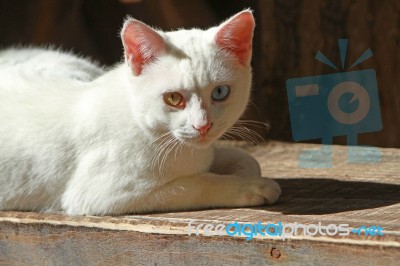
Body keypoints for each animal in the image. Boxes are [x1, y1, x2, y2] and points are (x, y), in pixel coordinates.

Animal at [0, 9, 282, 216]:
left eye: (220, 92)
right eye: (173, 98)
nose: (202, 126)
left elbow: (248, 160)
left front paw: (241, 170)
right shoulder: (101, 194)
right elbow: (194, 183)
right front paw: (250, 186)